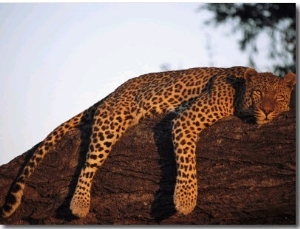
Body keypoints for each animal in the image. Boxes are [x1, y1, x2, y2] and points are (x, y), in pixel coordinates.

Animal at [0, 65, 296, 218]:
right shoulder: (186, 119)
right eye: (258, 93)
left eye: (279, 97)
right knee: (88, 163)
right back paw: (80, 203)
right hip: (112, 121)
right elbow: (187, 161)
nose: (267, 111)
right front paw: (186, 199)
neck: (238, 94)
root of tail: (114, 92)